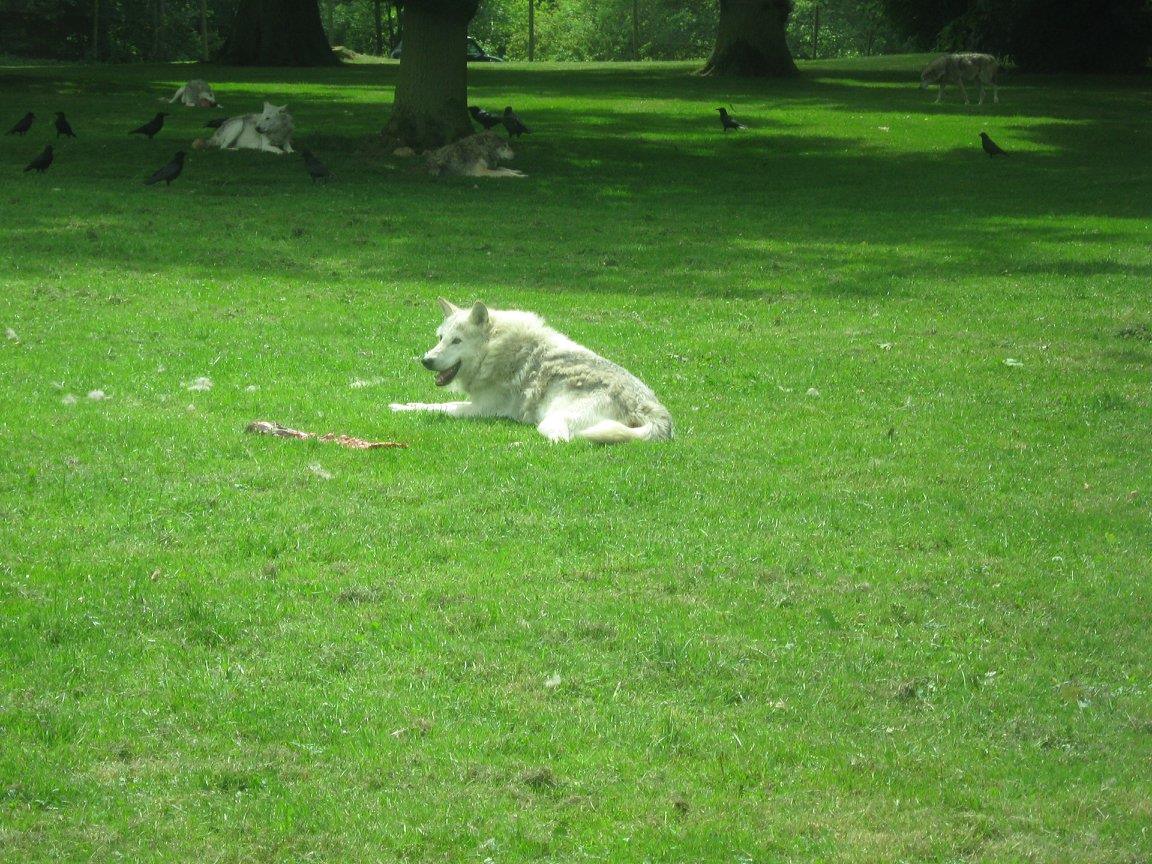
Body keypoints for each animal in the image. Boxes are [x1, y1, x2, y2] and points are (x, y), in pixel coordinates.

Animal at [390, 299, 673, 444]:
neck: (496, 349)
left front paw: (399, 408)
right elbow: (426, 403)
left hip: (553, 422)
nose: (426, 360)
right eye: (440, 338)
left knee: (565, 441)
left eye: (456, 341)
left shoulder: (479, 409)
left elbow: (439, 407)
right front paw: (404, 404)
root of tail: (649, 407)